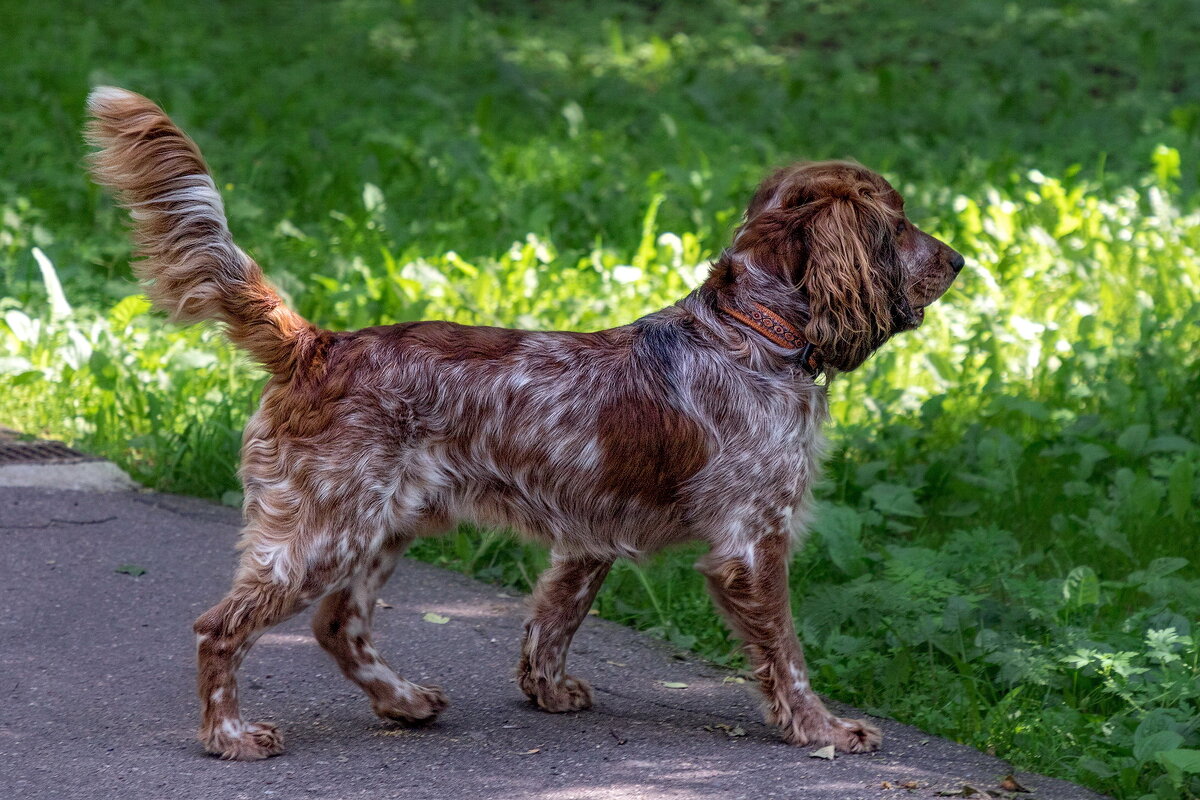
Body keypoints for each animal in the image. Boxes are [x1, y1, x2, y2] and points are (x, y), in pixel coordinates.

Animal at [84, 86, 960, 762]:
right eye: (897, 223)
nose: (957, 261)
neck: (747, 331)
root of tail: (317, 344)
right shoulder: (752, 545)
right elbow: (788, 654)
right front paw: (825, 730)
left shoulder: (591, 534)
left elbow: (552, 617)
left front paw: (546, 690)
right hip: (323, 532)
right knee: (221, 628)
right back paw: (230, 736)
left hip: (380, 526)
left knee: (339, 625)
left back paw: (402, 701)